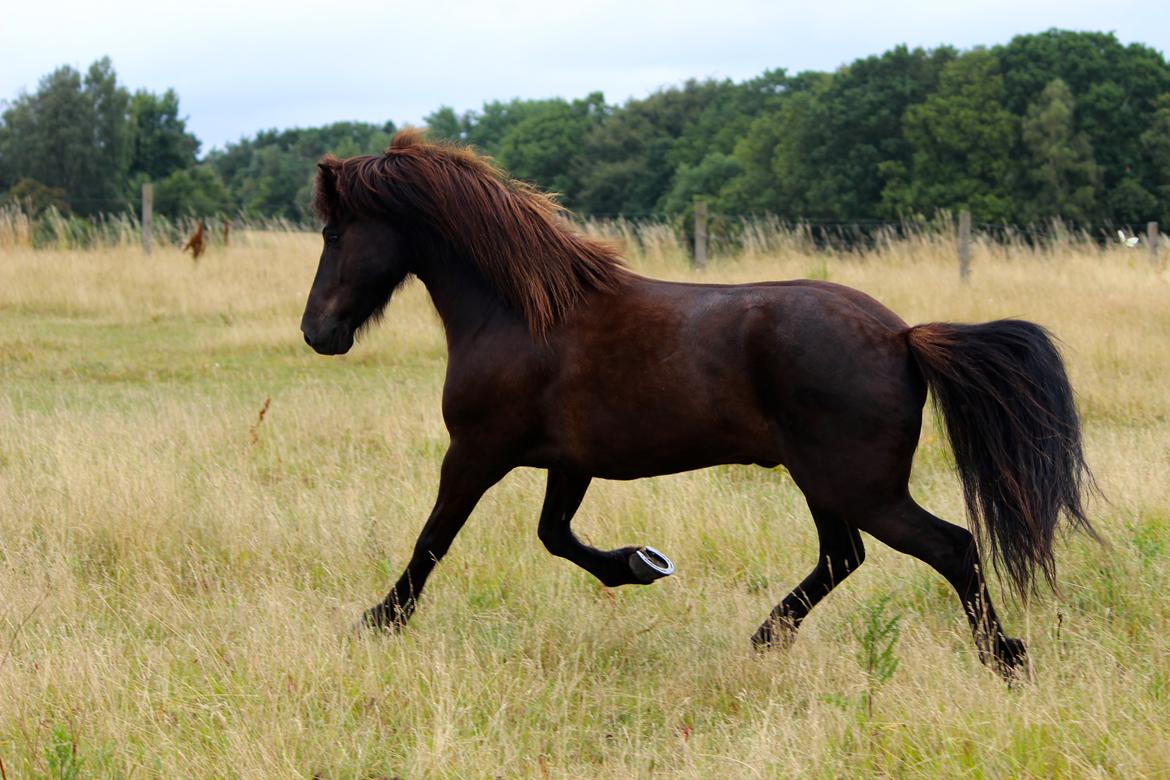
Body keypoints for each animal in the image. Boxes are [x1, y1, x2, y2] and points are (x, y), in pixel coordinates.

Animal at [301, 130, 1095, 678]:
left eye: (335, 232)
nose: (317, 333)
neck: (523, 314)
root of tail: (903, 336)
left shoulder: (475, 453)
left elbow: (432, 540)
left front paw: (376, 622)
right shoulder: (570, 463)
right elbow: (555, 535)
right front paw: (640, 563)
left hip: (859, 484)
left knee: (951, 547)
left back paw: (1005, 658)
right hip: (824, 481)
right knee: (843, 556)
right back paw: (765, 637)